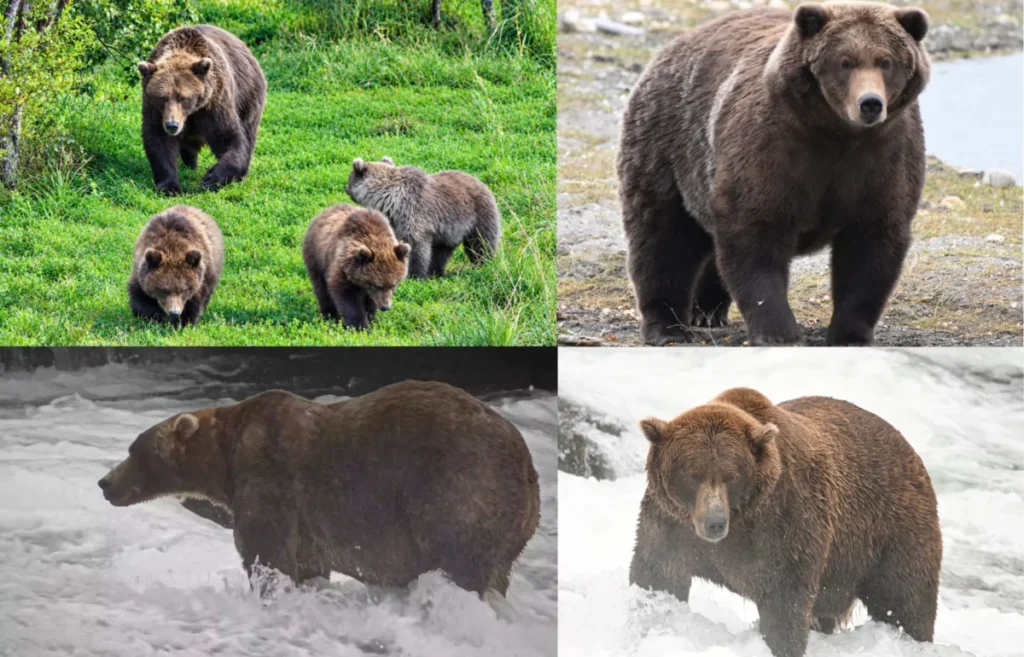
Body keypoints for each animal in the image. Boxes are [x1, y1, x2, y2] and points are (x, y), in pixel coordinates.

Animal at [97, 381, 541, 598]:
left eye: (133, 450)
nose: (104, 482)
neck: (226, 457)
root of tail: (528, 467)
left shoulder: (271, 476)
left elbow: (266, 552)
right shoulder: (308, 526)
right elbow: (307, 564)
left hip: (458, 491)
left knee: (459, 561)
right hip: (511, 530)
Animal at [138, 25, 266, 195]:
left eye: (183, 97)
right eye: (163, 97)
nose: (172, 125)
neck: (192, 112)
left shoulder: (214, 104)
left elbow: (229, 137)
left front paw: (211, 178)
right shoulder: (155, 110)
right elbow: (158, 140)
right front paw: (170, 187)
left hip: (248, 96)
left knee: (248, 133)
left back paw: (240, 175)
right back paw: (190, 164)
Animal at [346, 157, 501, 279]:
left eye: (349, 179)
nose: (346, 189)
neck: (390, 199)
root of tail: (482, 183)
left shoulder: (414, 214)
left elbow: (416, 248)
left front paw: (413, 275)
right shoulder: (396, 221)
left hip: (478, 215)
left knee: (481, 242)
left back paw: (483, 264)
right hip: (447, 233)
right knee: (440, 252)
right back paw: (436, 272)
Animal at [617, 3, 930, 346]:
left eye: (886, 61)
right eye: (844, 62)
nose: (870, 103)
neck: (837, 134)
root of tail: (670, 48)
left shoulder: (883, 159)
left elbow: (870, 245)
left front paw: (849, 335)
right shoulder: (774, 148)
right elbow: (756, 235)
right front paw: (779, 334)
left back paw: (708, 311)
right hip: (668, 149)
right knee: (662, 237)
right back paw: (667, 326)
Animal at [629, 387, 941, 657]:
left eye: (731, 476)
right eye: (693, 474)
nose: (715, 522)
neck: (741, 520)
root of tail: (909, 449)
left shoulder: (785, 523)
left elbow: (784, 603)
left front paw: (778, 645)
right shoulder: (671, 525)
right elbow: (658, 575)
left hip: (889, 532)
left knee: (905, 601)